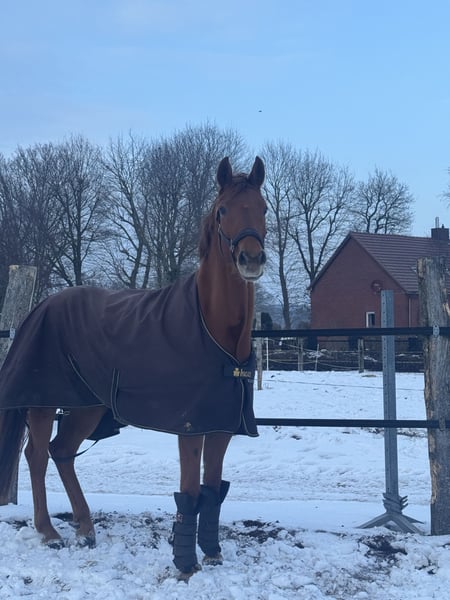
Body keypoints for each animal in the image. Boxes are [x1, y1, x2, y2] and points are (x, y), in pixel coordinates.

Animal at [0, 156, 267, 577]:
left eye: (263, 208)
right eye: (223, 210)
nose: (251, 259)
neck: (212, 327)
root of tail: (41, 306)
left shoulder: (222, 424)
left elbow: (213, 489)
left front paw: (212, 552)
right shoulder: (190, 427)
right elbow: (190, 491)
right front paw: (185, 564)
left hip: (87, 406)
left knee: (62, 451)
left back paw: (86, 529)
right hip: (44, 401)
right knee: (38, 455)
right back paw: (49, 533)